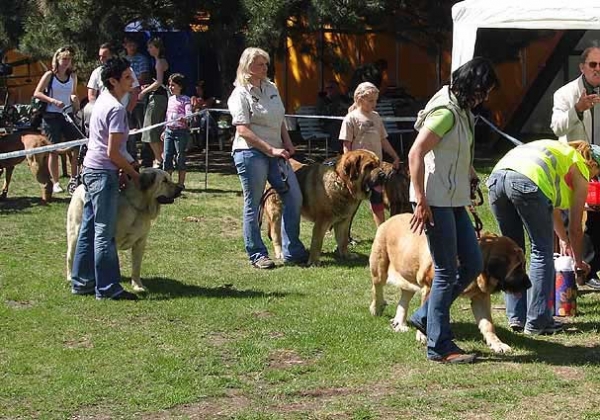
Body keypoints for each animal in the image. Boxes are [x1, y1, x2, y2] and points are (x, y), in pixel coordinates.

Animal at [368, 213, 532, 354]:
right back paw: (376, 308)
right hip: (379, 267)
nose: (529, 285)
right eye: (518, 267)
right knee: (377, 288)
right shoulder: (431, 288)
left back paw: (399, 323)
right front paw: (423, 335)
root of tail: (390, 219)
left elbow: (488, 324)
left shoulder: (480, 298)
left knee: (405, 297)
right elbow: (428, 312)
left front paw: (497, 344)